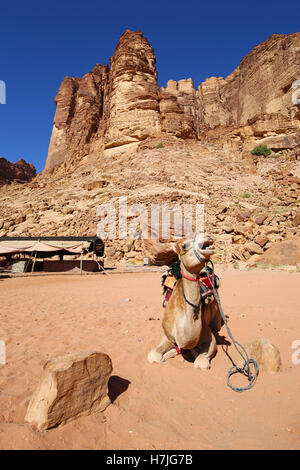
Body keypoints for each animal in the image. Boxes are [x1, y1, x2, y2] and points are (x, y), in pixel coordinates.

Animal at [146, 233, 224, 370]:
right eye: (184, 245)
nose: (207, 237)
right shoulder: (168, 335)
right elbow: (154, 356)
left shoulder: (208, 337)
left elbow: (200, 362)